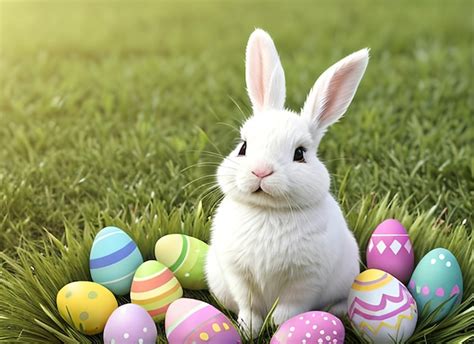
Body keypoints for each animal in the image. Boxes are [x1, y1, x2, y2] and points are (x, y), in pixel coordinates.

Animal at [206, 28, 368, 336]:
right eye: (243, 147)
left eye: (300, 154)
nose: (260, 172)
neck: (268, 211)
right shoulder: (238, 275)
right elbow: (248, 306)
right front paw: (249, 330)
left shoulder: (304, 280)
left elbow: (289, 310)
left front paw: (282, 328)